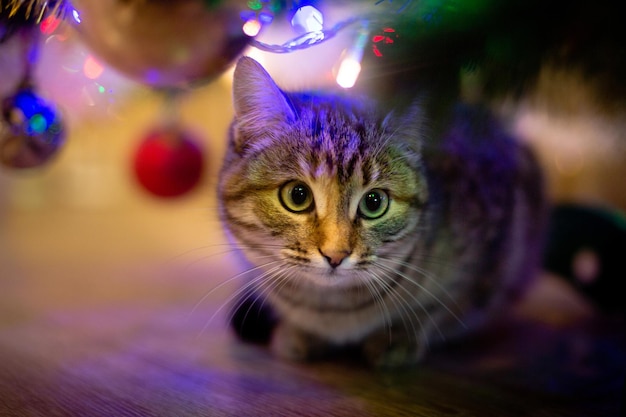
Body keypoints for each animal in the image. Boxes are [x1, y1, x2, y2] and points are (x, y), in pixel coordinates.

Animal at [217, 57, 544, 366]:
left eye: (374, 202)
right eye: (297, 196)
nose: (335, 255)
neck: (330, 310)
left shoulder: (492, 257)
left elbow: (439, 309)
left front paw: (400, 337)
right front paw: (300, 333)